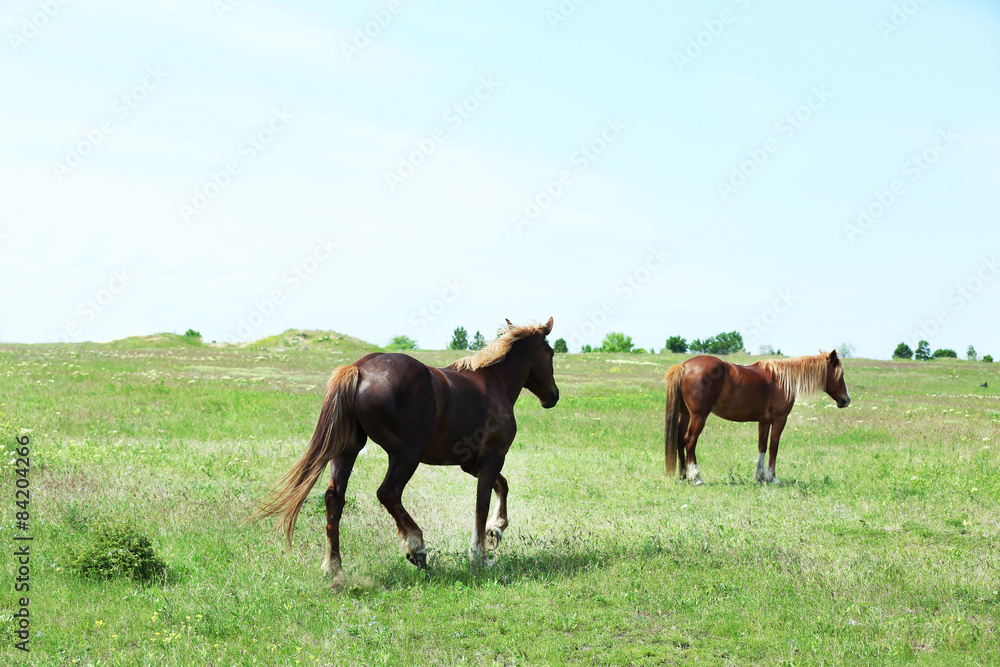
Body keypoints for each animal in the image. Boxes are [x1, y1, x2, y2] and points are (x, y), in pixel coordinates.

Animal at [251, 318, 559, 584]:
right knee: (388, 493)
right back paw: (416, 546)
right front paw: (480, 554)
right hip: (406, 456)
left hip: (349, 450)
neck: (493, 382)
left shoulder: (471, 463)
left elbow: (501, 486)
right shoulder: (492, 458)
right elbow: (482, 504)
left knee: (334, 498)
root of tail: (360, 368)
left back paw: (333, 566)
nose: (553, 396)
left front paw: (497, 528)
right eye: (551, 353)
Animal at [664, 350, 850, 485]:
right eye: (840, 374)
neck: (782, 379)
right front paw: (772, 478)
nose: (846, 400)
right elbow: (774, 447)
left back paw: (683, 476)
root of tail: (684, 365)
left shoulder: (764, 421)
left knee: (680, 440)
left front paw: (760, 477)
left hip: (685, 414)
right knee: (690, 440)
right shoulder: (779, 420)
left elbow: (762, 446)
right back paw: (696, 477)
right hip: (699, 416)